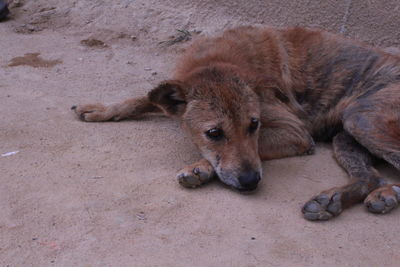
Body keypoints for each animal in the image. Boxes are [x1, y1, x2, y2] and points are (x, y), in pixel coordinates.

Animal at [72, 25, 400, 222]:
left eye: (254, 125)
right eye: (214, 133)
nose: (251, 182)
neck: (218, 60)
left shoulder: (295, 132)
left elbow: (251, 150)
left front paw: (201, 167)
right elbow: (144, 97)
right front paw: (103, 109)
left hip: (360, 118)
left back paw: (387, 194)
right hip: (347, 135)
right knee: (370, 176)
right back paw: (335, 199)